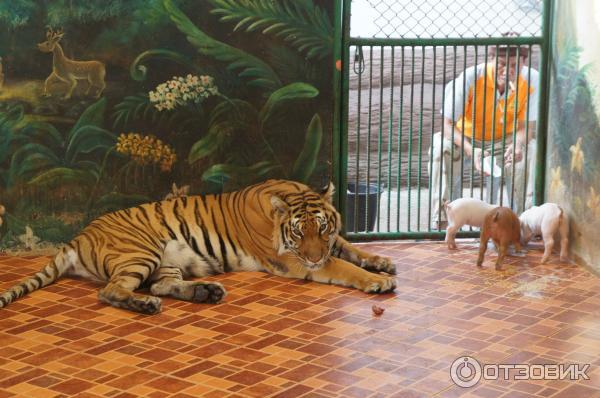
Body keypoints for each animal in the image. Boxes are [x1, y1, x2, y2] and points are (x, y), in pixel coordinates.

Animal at [0, 180, 396, 314]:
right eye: (299, 235)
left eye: (323, 227)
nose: (314, 255)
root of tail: (77, 236)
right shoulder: (292, 261)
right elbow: (343, 266)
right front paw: (378, 281)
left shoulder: (330, 243)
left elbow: (349, 249)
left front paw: (381, 260)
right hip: (141, 252)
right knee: (111, 292)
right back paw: (146, 305)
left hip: (166, 260)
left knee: (162, 284)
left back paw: (206, 292)